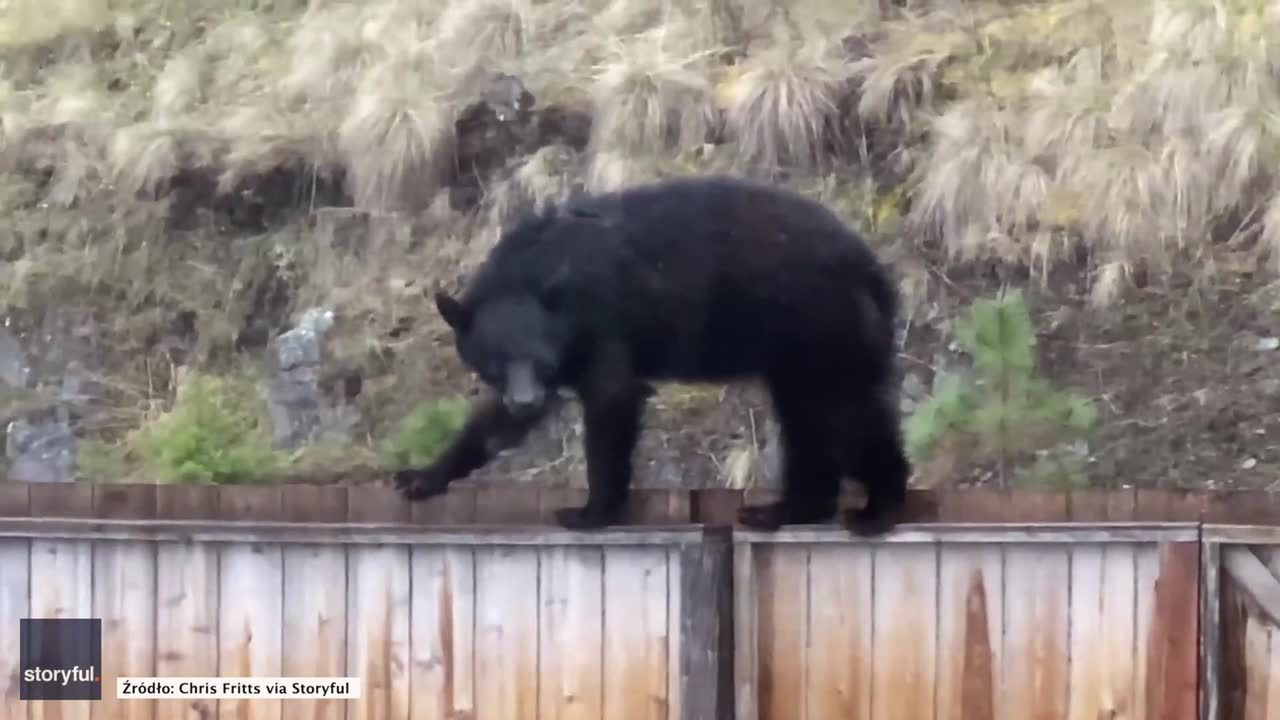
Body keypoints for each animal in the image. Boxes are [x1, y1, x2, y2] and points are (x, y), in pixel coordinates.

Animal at [394, 174, 906, 532]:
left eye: (540, 359)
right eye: (495, 361)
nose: (527, 401)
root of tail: (873, 269)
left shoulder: (602, 319)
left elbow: (612, 400)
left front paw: (589, 511)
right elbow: (492, 425)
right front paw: (422, 476)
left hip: (816, 327)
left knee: (824, 419)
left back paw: (798, 510)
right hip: (832, 344)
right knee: (855, 413)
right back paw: (869, 505)